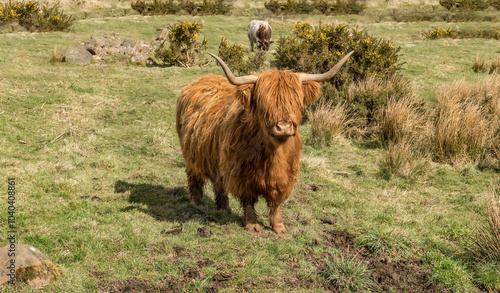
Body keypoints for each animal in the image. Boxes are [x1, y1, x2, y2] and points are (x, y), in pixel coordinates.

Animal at [178, 51, 354, 234]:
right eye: (264, 103)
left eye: (295, 102)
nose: (283, 127)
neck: (272, 152)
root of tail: (201, 80)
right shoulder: (241, 172)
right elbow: (248, 198)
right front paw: (252, 224)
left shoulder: (283, 174)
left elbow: (275, 199)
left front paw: (279, 226)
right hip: (192, 154)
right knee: (195, 176)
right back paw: (198, 203)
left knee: (218, 181)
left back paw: (224, 207)